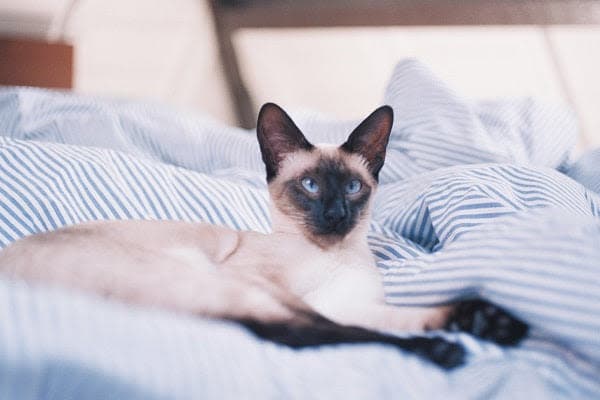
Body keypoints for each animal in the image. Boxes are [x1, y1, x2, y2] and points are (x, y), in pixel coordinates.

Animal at [0, 103, 528, 368]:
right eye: (311, 186)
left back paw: (490, 325)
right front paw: (453, 338)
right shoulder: (275, 287)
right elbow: (348, 327)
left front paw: (481, 320)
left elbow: (403, 314)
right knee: (306, 334)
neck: (332, 256)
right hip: (224, 285)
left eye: (352, 187)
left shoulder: (351, 301)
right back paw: (446, 351)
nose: (335, 214)